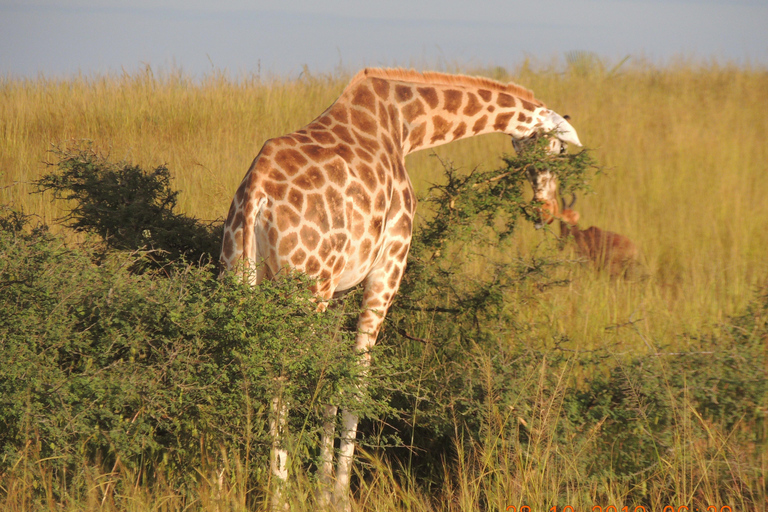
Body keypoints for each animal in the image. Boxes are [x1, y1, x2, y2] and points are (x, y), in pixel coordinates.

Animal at [219, 67, 580, 508]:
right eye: (558, 149)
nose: (546, 211)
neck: (406, 124)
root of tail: (257, 196)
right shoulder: (386, 268)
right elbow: (357, 383)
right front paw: (341, 495)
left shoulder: (341, 290)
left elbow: (332, 378)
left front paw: (322, 492)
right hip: (304, 288)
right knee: (280, 376)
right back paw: (280, 496)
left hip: (242, 276)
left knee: (247, 370)